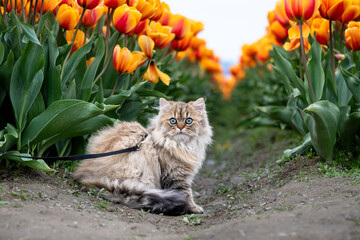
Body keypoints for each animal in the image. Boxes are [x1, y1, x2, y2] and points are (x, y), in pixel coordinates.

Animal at [74, 97, 212, 216]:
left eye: (189, 121)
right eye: (173, 121)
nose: (181, 127)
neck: (181, 145)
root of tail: (85, 177)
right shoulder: (176, 175)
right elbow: (186, 194)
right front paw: (194, 208)